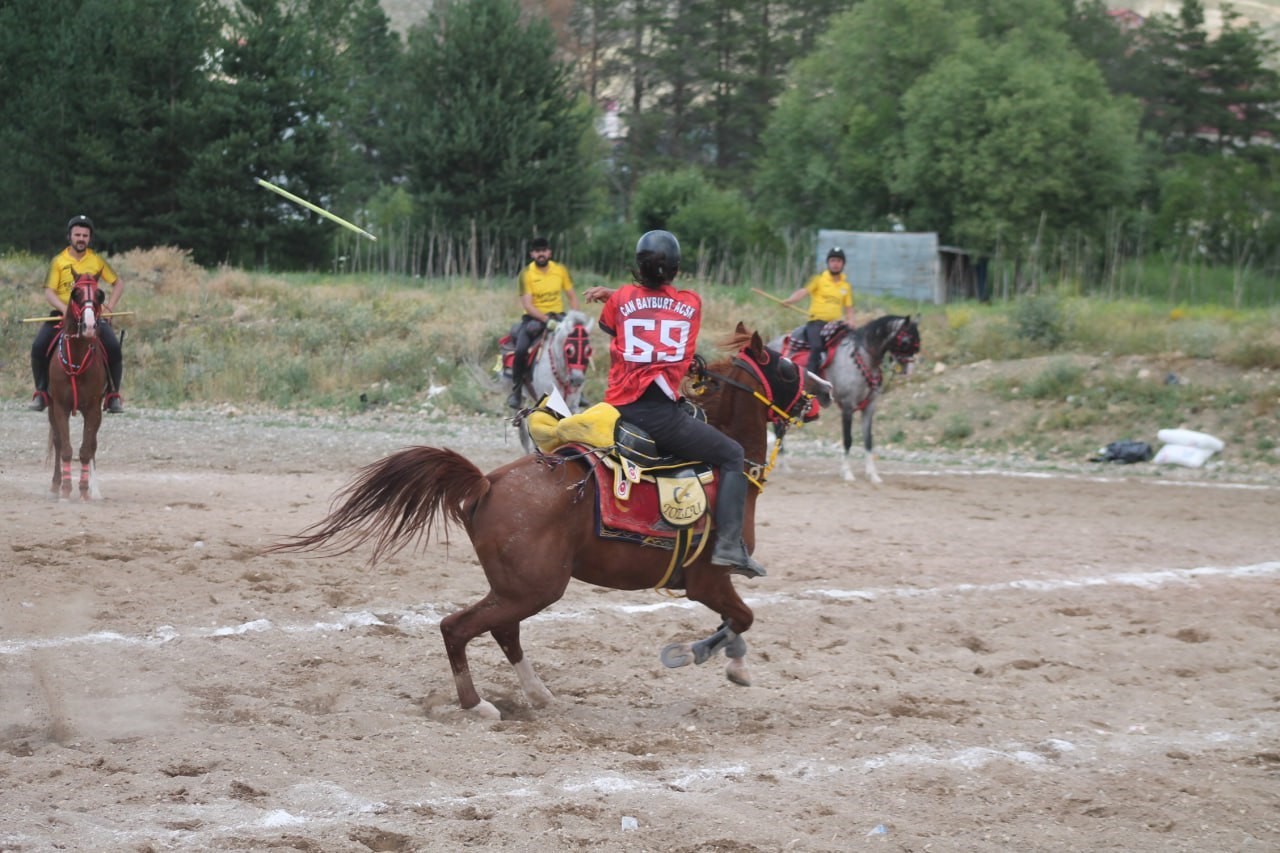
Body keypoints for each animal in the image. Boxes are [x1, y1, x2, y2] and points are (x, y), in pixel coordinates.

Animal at [45, 275, 108, 499]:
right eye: (76, 294)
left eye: (100, 295)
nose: (89, 325)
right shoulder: (60, 407)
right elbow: (65, 448)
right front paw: (65, 489)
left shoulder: (93, 409)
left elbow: (86, 450)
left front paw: (84, 491)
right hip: (51, 408)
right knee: (57, 441)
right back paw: (55, 485)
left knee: (92, 445)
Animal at [270, 325, 829, 717]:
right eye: (785, 366)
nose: (822, 389)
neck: (722, 468)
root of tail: (486, 484)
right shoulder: (709, 581)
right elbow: (742, 618)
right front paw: (713, 658)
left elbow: (738, 621)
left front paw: (725, 655)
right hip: (534, 588)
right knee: (458, 627)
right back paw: (478, 705)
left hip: (517, 587)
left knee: (502, 632)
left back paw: (537, 694)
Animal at [768, 315, 921, 481]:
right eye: (905, 341)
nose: (908, 369)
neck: (863, 359)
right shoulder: (848, 406)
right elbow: (848, 439)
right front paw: (847, 473)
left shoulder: (869, 407)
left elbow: (868, 440)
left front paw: (873, 475)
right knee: (778, 429)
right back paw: (784, 466)